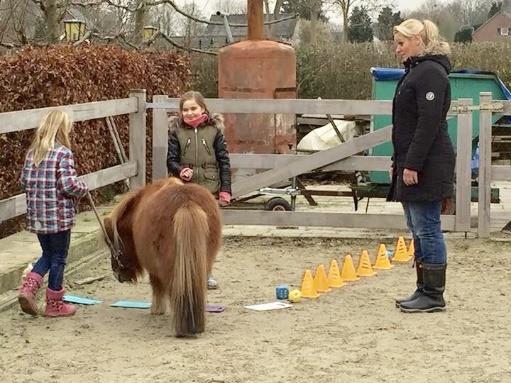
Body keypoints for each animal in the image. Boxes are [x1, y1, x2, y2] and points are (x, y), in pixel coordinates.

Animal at [104, 178, 222, 338]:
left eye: (112, 243)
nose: (117, 274)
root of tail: (186, 203)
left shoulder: (153, 268)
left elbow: (157, 286)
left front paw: (157, 309)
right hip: (203, 262)